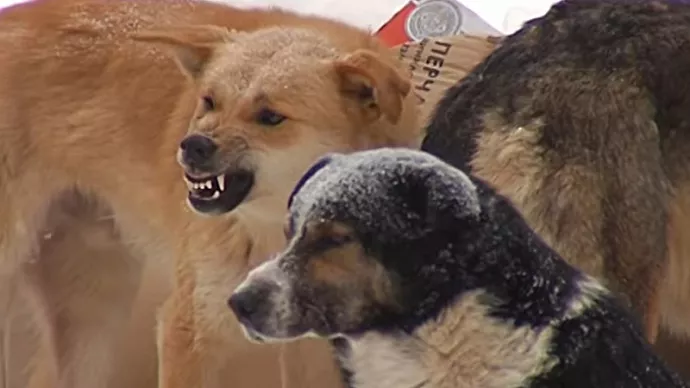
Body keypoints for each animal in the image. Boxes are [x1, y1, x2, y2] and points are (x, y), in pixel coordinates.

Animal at [0, 0, 420, 386]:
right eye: (209, 101)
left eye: (270, 116)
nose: (193, 146)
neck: (273, 233)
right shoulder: (189, 327)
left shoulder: (311, 346)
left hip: (92, 307)